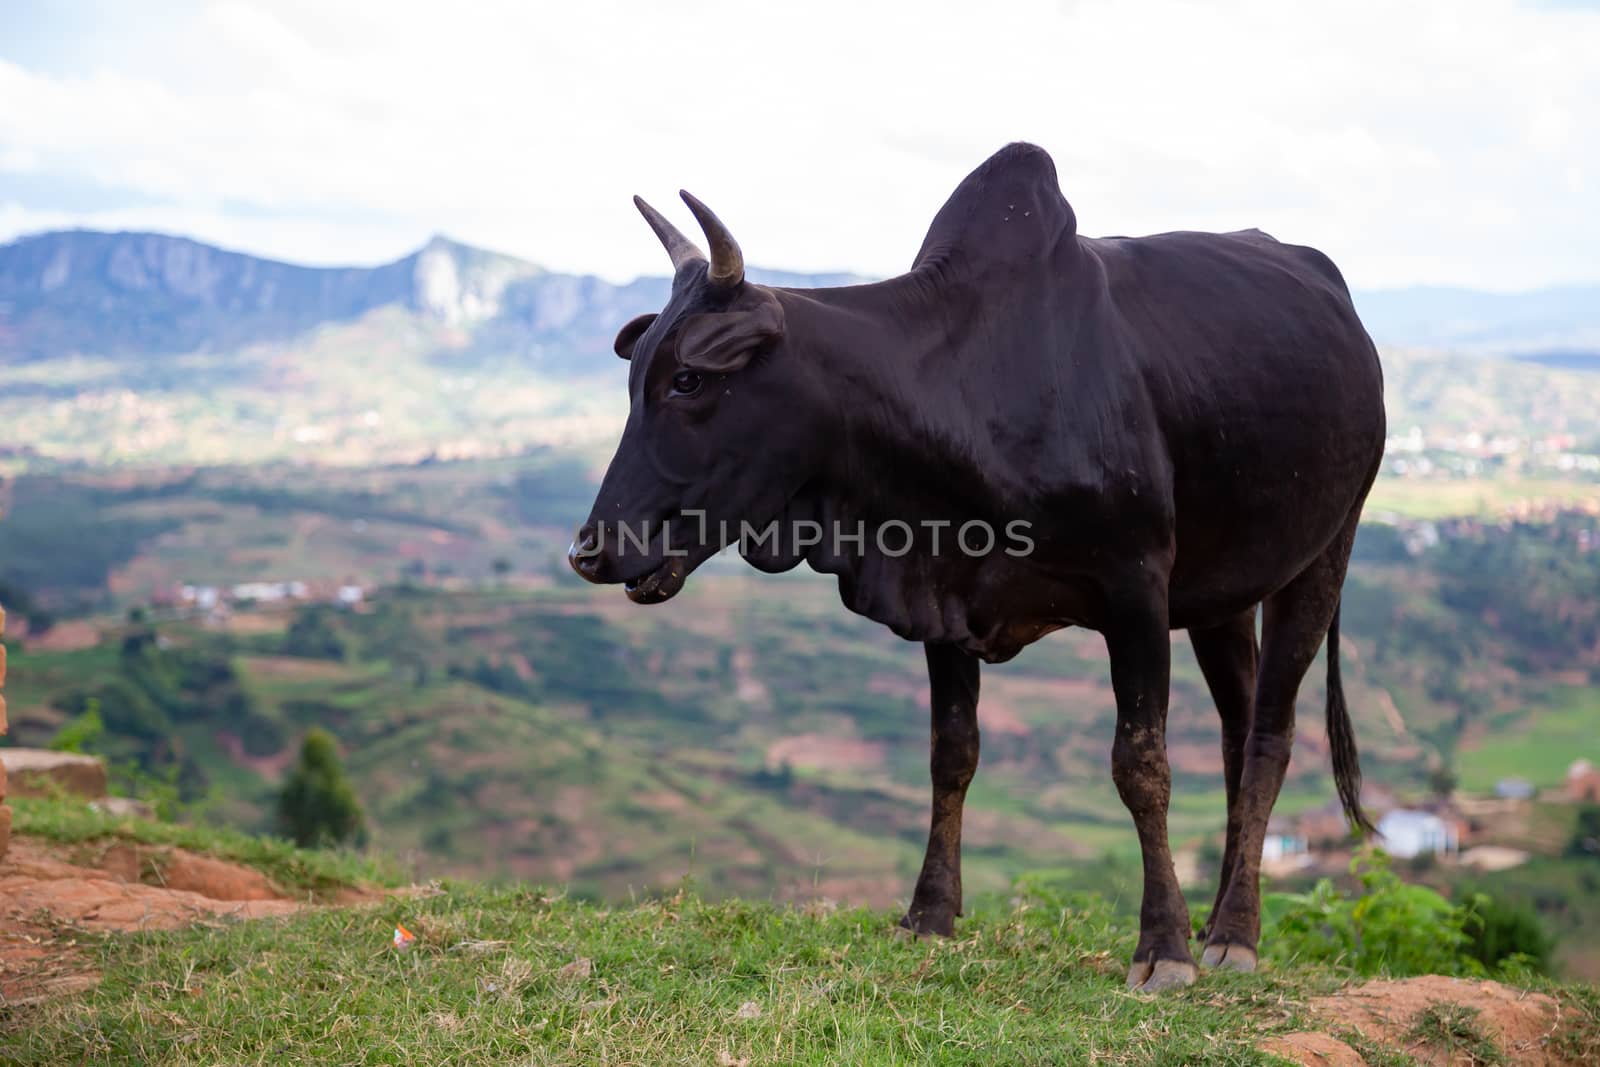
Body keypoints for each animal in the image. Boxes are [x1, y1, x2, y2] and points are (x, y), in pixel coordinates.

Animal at [572, 143, 1388, 991]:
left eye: (689, 379)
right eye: (636, 382)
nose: (592, 547)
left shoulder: (1135, 591)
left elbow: (1142, 764)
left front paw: (1162, 947)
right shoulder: (939, 596)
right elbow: (951, 755)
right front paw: (928, 914)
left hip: (1324, 551)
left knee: (1270, 734)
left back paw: (1231, 933)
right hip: (1222, 592)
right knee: (1235, 729)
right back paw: (1222, 914)